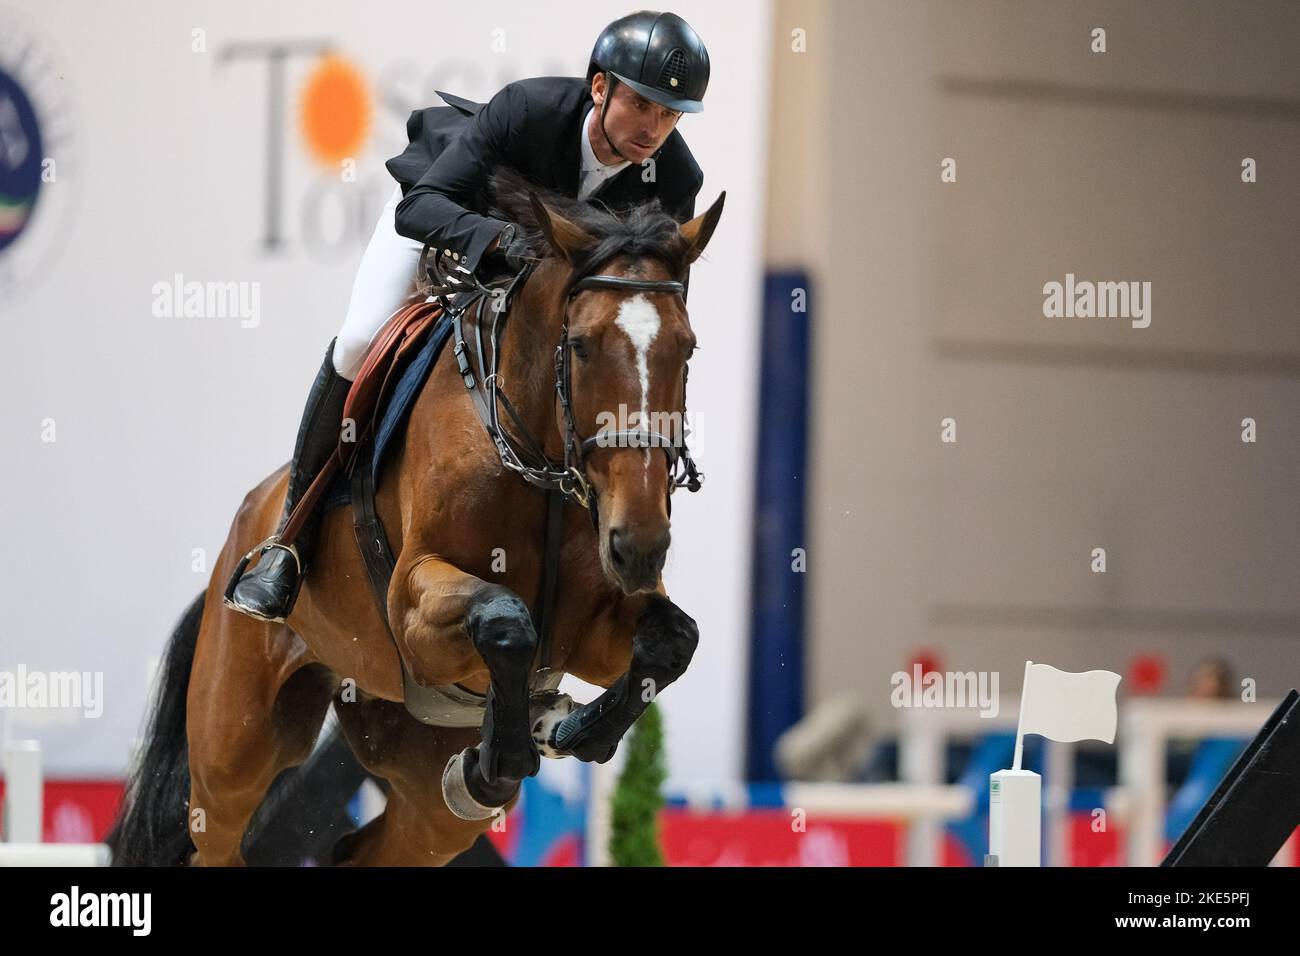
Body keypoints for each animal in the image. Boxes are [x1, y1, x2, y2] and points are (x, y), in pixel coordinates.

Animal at [107, 168, 726, 865]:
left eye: (687, 349)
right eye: (582, 347)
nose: (638, 545)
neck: (535, 458)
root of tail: (241, 539)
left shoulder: (586, 627)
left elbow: (671, 640)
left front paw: (569, 731)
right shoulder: (413, 605)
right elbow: (503, 618)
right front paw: (510, 749)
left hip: (419, 774)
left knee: (382, 843)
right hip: (234, 747)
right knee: (218, 833)